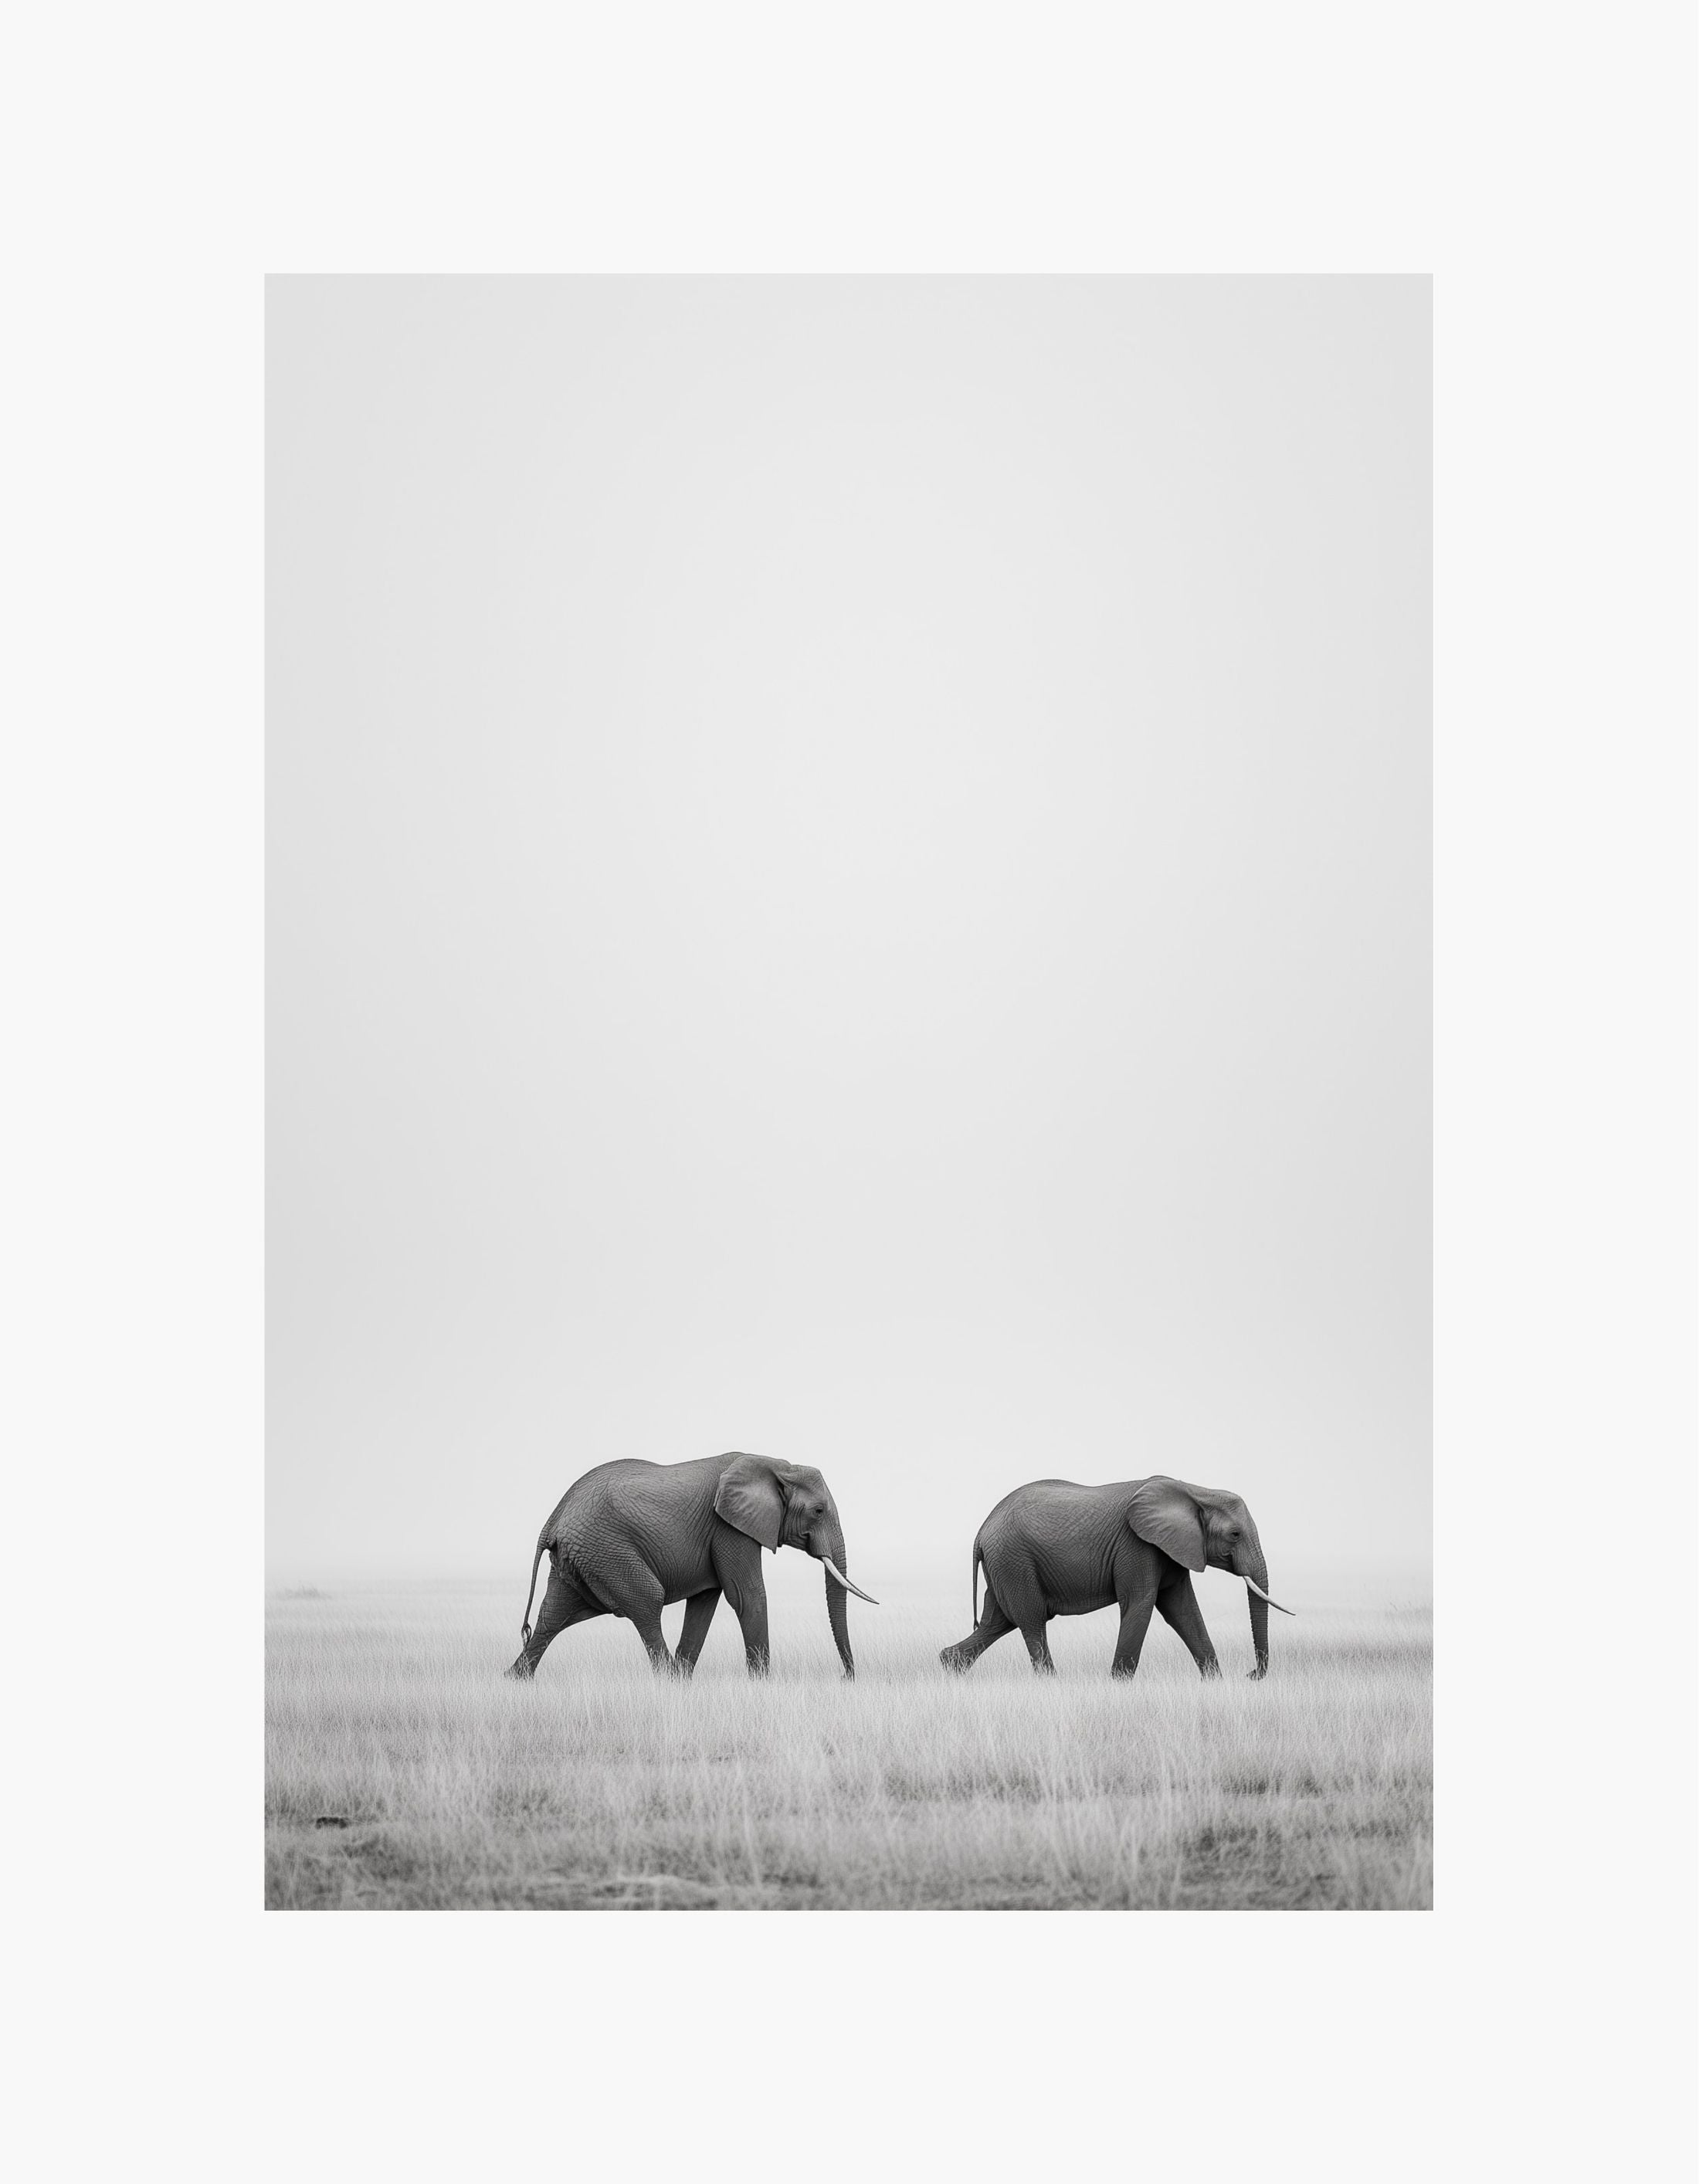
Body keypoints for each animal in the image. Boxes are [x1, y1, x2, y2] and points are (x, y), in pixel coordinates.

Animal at [506, 1451, 877, 1681]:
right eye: (818, 1511)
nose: (846, 1677)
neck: (775, 1463)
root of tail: (553, 1519)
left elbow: (704, 1603)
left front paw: (687, 1680)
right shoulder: (729, 1527)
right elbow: (746, 1596)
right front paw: (762, 1684)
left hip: (581, 1555)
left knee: (554, 1615)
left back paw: (515, 1679)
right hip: (606, 1549)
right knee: (647, 1602)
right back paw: (666, 1680)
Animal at [938, 1474, 1292, 1681]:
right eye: (1234, 1535)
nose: (1250, 1674)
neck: (1196, 1491)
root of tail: (982, 1532)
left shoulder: (1170, 1548)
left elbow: (1182, 1610)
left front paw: (1214, 1682)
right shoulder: (1137, 1546)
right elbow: (1141, 1603)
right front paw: (1119, 1684)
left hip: (1005, 1565)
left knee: (998, 1621)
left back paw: (950, 1666)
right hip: (1013, 1561)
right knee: (1032, 1621)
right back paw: (1052, 1683)